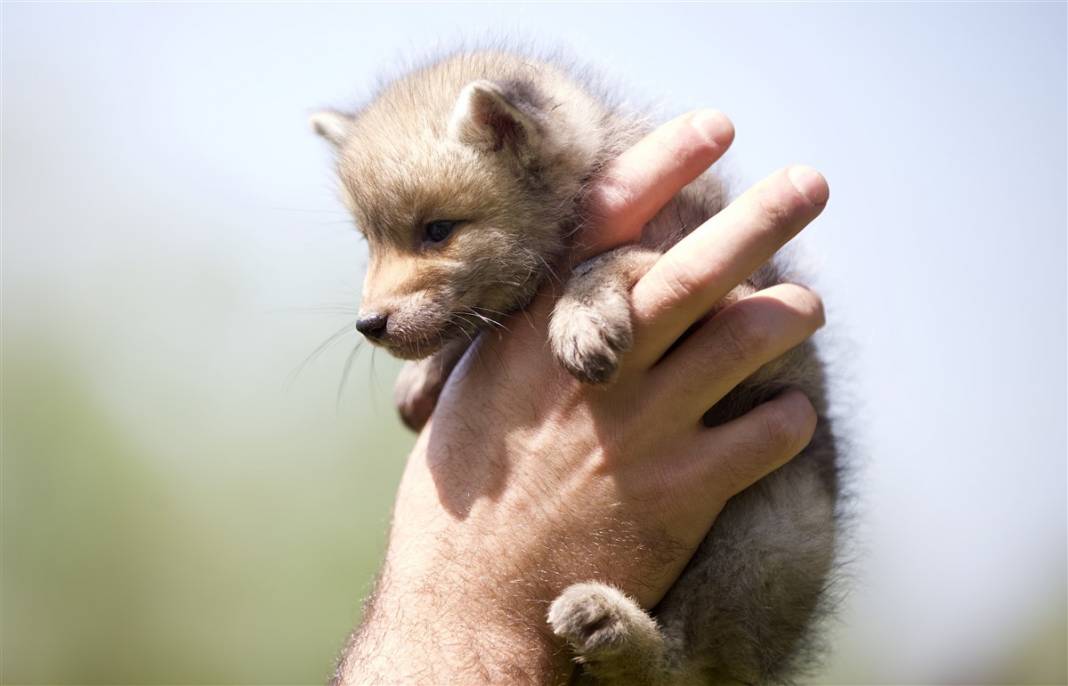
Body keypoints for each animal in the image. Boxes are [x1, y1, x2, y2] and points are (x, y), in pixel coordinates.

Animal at [311, 49, 837, 683]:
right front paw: (428, 375)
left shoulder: (747, 300)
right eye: (371, 240)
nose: (369, 324)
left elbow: (612, 258)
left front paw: (580, 315)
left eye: (437, 230)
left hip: (766, 532)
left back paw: (613, 626)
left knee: (686, 665)